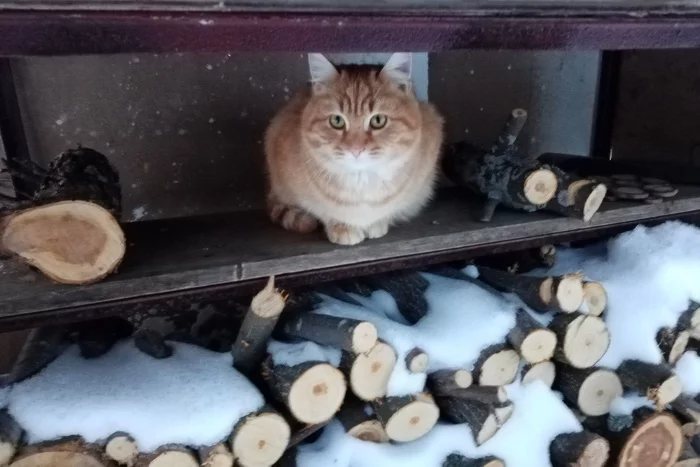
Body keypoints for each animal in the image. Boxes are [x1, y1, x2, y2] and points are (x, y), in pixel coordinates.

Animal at [262, 52, 442, 245]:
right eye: (336, 121)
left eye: (378, 120)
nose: (356, 149)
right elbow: (325, 212)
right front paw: (342, 228)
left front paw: (377, 224)